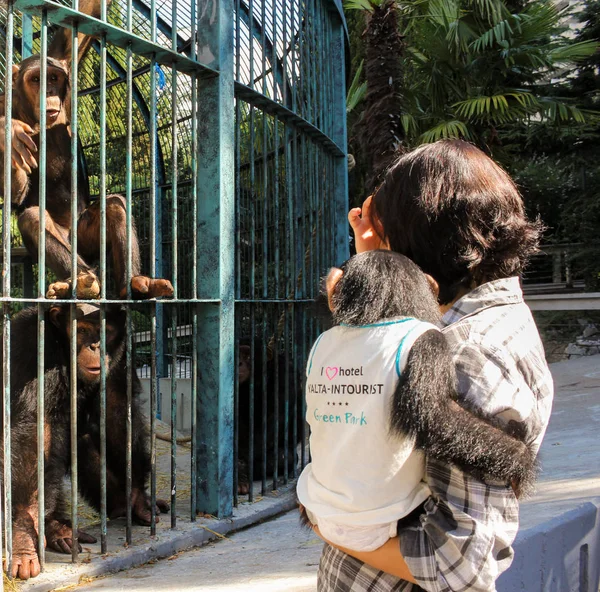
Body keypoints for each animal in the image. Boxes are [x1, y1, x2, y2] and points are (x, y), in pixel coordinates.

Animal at [0, 0, 172, 300]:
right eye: (36, 80)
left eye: (53, 78)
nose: (49, 92)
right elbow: (15, 196)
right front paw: (9, 133)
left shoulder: (63, 59)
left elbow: (82, 21)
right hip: (73, 251)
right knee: (33, 218)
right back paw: (79, 281)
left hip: (88, 243)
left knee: (115, 205)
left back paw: (134, 284)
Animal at [1, 302, 169, 580]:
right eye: (81, 329)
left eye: (105, 329)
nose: (95, 346)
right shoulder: (29, 345)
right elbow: (35, 429)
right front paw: (23, 534)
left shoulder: (122, 353)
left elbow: (115, 406)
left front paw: (136, 497)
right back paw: (55, 529)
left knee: (84, 440)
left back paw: (117, 507)